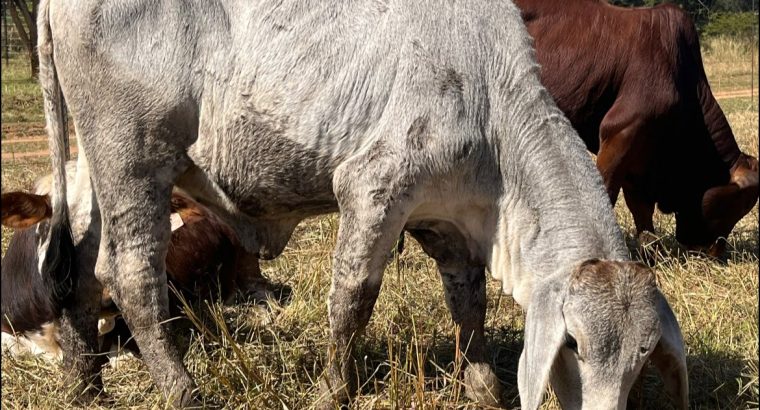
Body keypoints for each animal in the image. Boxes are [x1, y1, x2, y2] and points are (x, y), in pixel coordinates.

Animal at [35, 0, 687, 408]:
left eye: (643, 356)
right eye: (573, 343)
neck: (490, 102)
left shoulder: (444, 220)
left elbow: (468, 304)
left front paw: (480, 386)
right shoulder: (373, 189)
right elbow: (352, 300)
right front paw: (332, 391)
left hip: (96, 167)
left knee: (81, 267)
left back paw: (83, 383)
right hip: (133, 155)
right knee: (131, 273)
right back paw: (182, 392)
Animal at [514, 0, 759, 257]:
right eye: (734, 208)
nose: (717, 252)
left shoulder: (639, 153)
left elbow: (640, 207)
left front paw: (652, 252)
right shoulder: (621, 132)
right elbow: (607, 193)